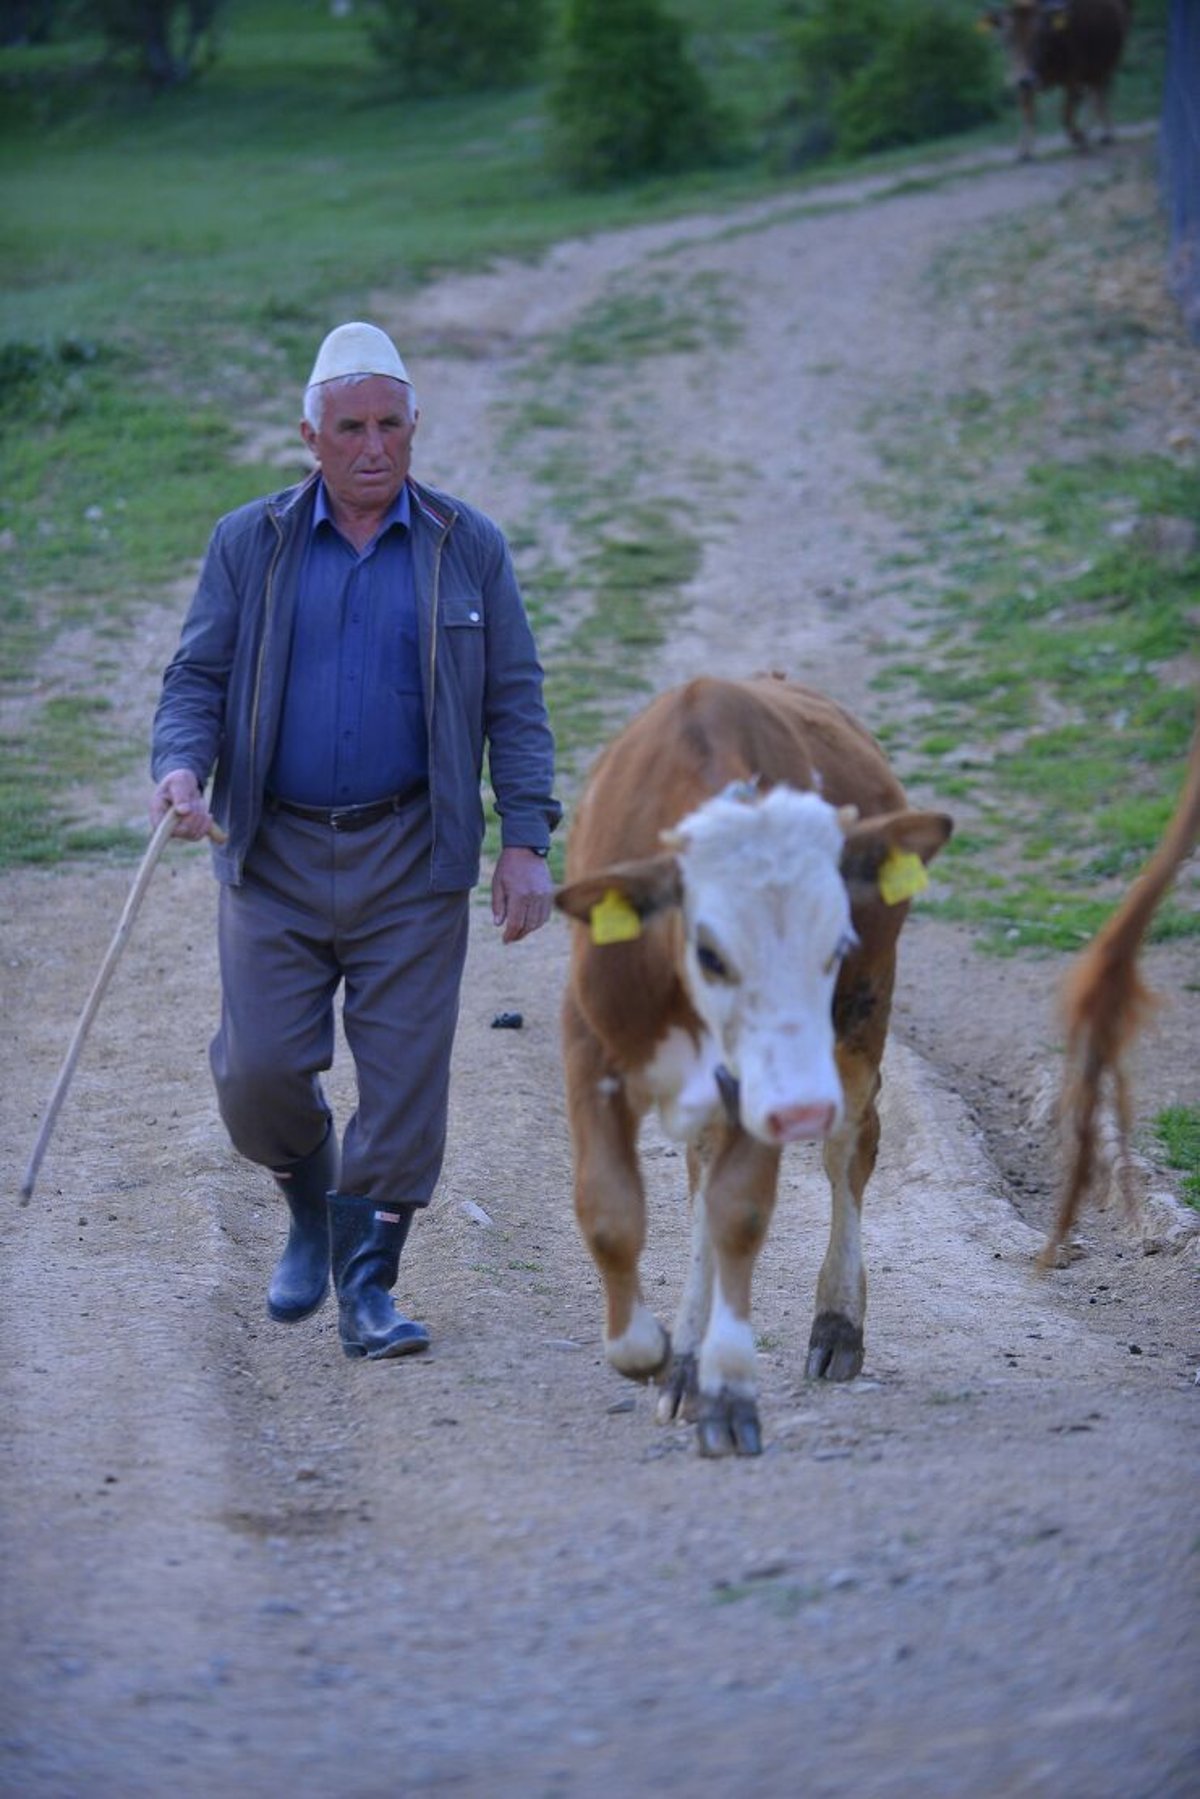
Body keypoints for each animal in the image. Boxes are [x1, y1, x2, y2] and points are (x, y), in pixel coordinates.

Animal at [557, 680, 949, 1453]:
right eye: (710, 952)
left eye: (836, 942)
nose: (800, 1108)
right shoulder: (587, 1042)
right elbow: (609, 1208)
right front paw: (652, 1350)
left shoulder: (775, 1084)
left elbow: (739, 1211)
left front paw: (730, 1389)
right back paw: (684, 1359)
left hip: (858, 1024)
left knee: (849, 1147)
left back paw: (836, 1323)